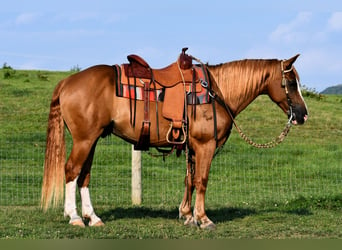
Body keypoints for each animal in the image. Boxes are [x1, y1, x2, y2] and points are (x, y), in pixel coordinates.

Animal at [40, 54, 308, 229]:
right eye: (290, 82)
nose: (303, 114)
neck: (217, 92)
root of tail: (67, 82)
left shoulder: (193, 147)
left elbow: (189, 179)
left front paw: (187, 215)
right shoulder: (205, 145)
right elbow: (201, 181)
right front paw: (203, 219)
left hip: (92, 139)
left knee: (84, 175)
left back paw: (93, 218)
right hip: (84, 139)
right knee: (71, 170)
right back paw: (74, 217)